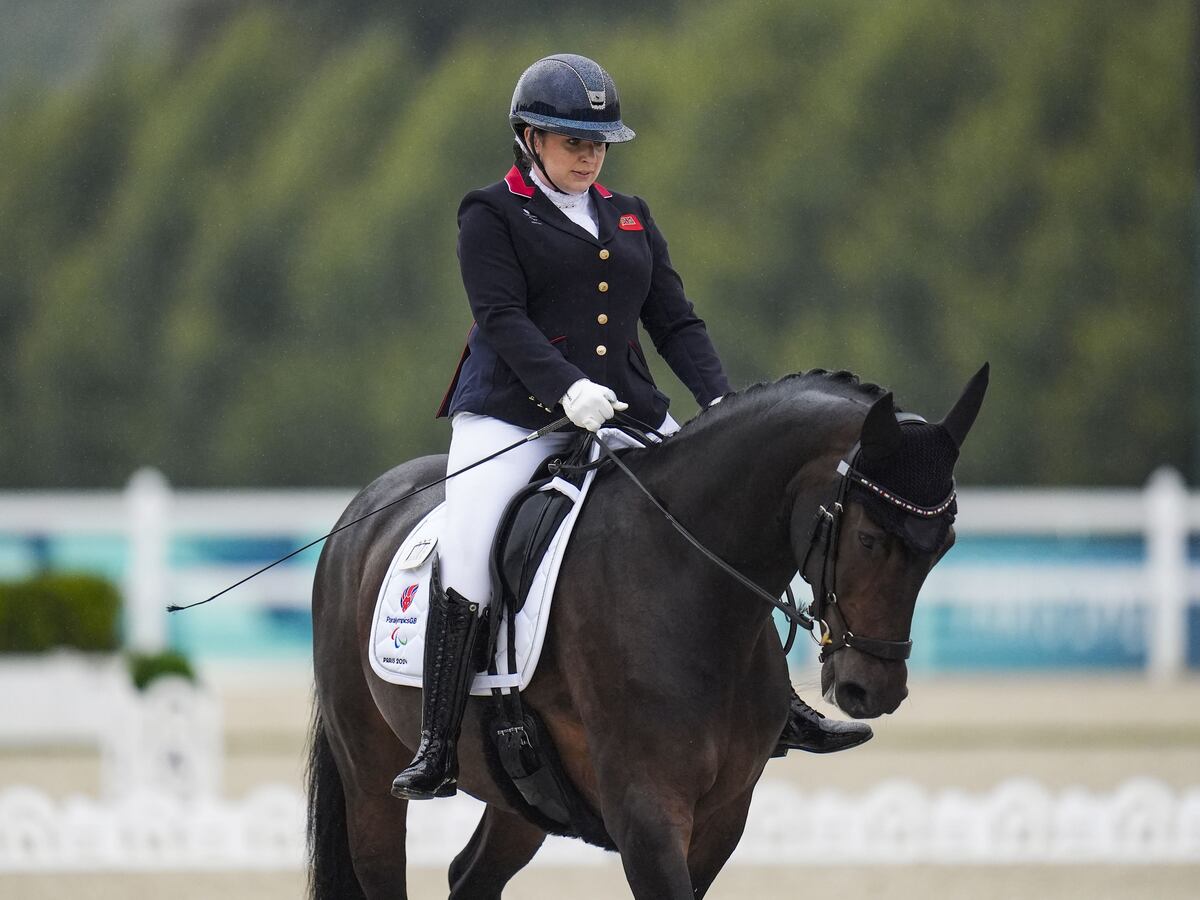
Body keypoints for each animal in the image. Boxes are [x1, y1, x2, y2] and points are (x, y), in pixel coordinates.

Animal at [304, 364, 988, 897]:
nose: (873, 690)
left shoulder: (723, 816)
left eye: (945, 543)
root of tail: (361, 510)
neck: (685, 577)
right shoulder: (647, 813)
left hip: (520, 795)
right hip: (371, 782)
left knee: (469, 877)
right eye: (869, 537)